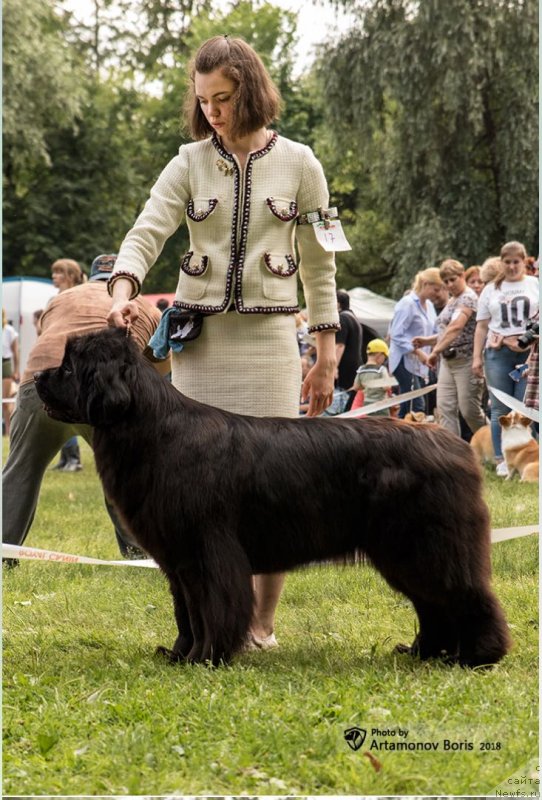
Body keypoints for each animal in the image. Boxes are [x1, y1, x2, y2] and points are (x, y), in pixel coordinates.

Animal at [36, 328, 512, 664]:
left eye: (68, 367)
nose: (38, 376)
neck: (152, 431)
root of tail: (456, 446)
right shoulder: (179, 559)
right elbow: (186, 612)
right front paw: (178, 654)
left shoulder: (208, 552)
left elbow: (211, 608)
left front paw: (205, 658)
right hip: (405, 553)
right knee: (433, 605)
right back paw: (423, 653)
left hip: (427, 546)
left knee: (466, 596)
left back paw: (477, 657)